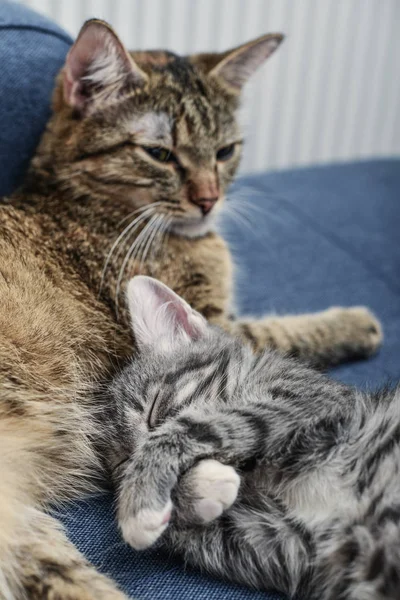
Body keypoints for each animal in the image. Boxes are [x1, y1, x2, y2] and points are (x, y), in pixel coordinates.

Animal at [102, 278, 400, 600]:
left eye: (155, 411)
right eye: (122, 463)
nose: (133, 470)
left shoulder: (310, 402)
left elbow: (198, 424)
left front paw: (138, 505)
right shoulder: (286, 544)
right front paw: (200, 489)